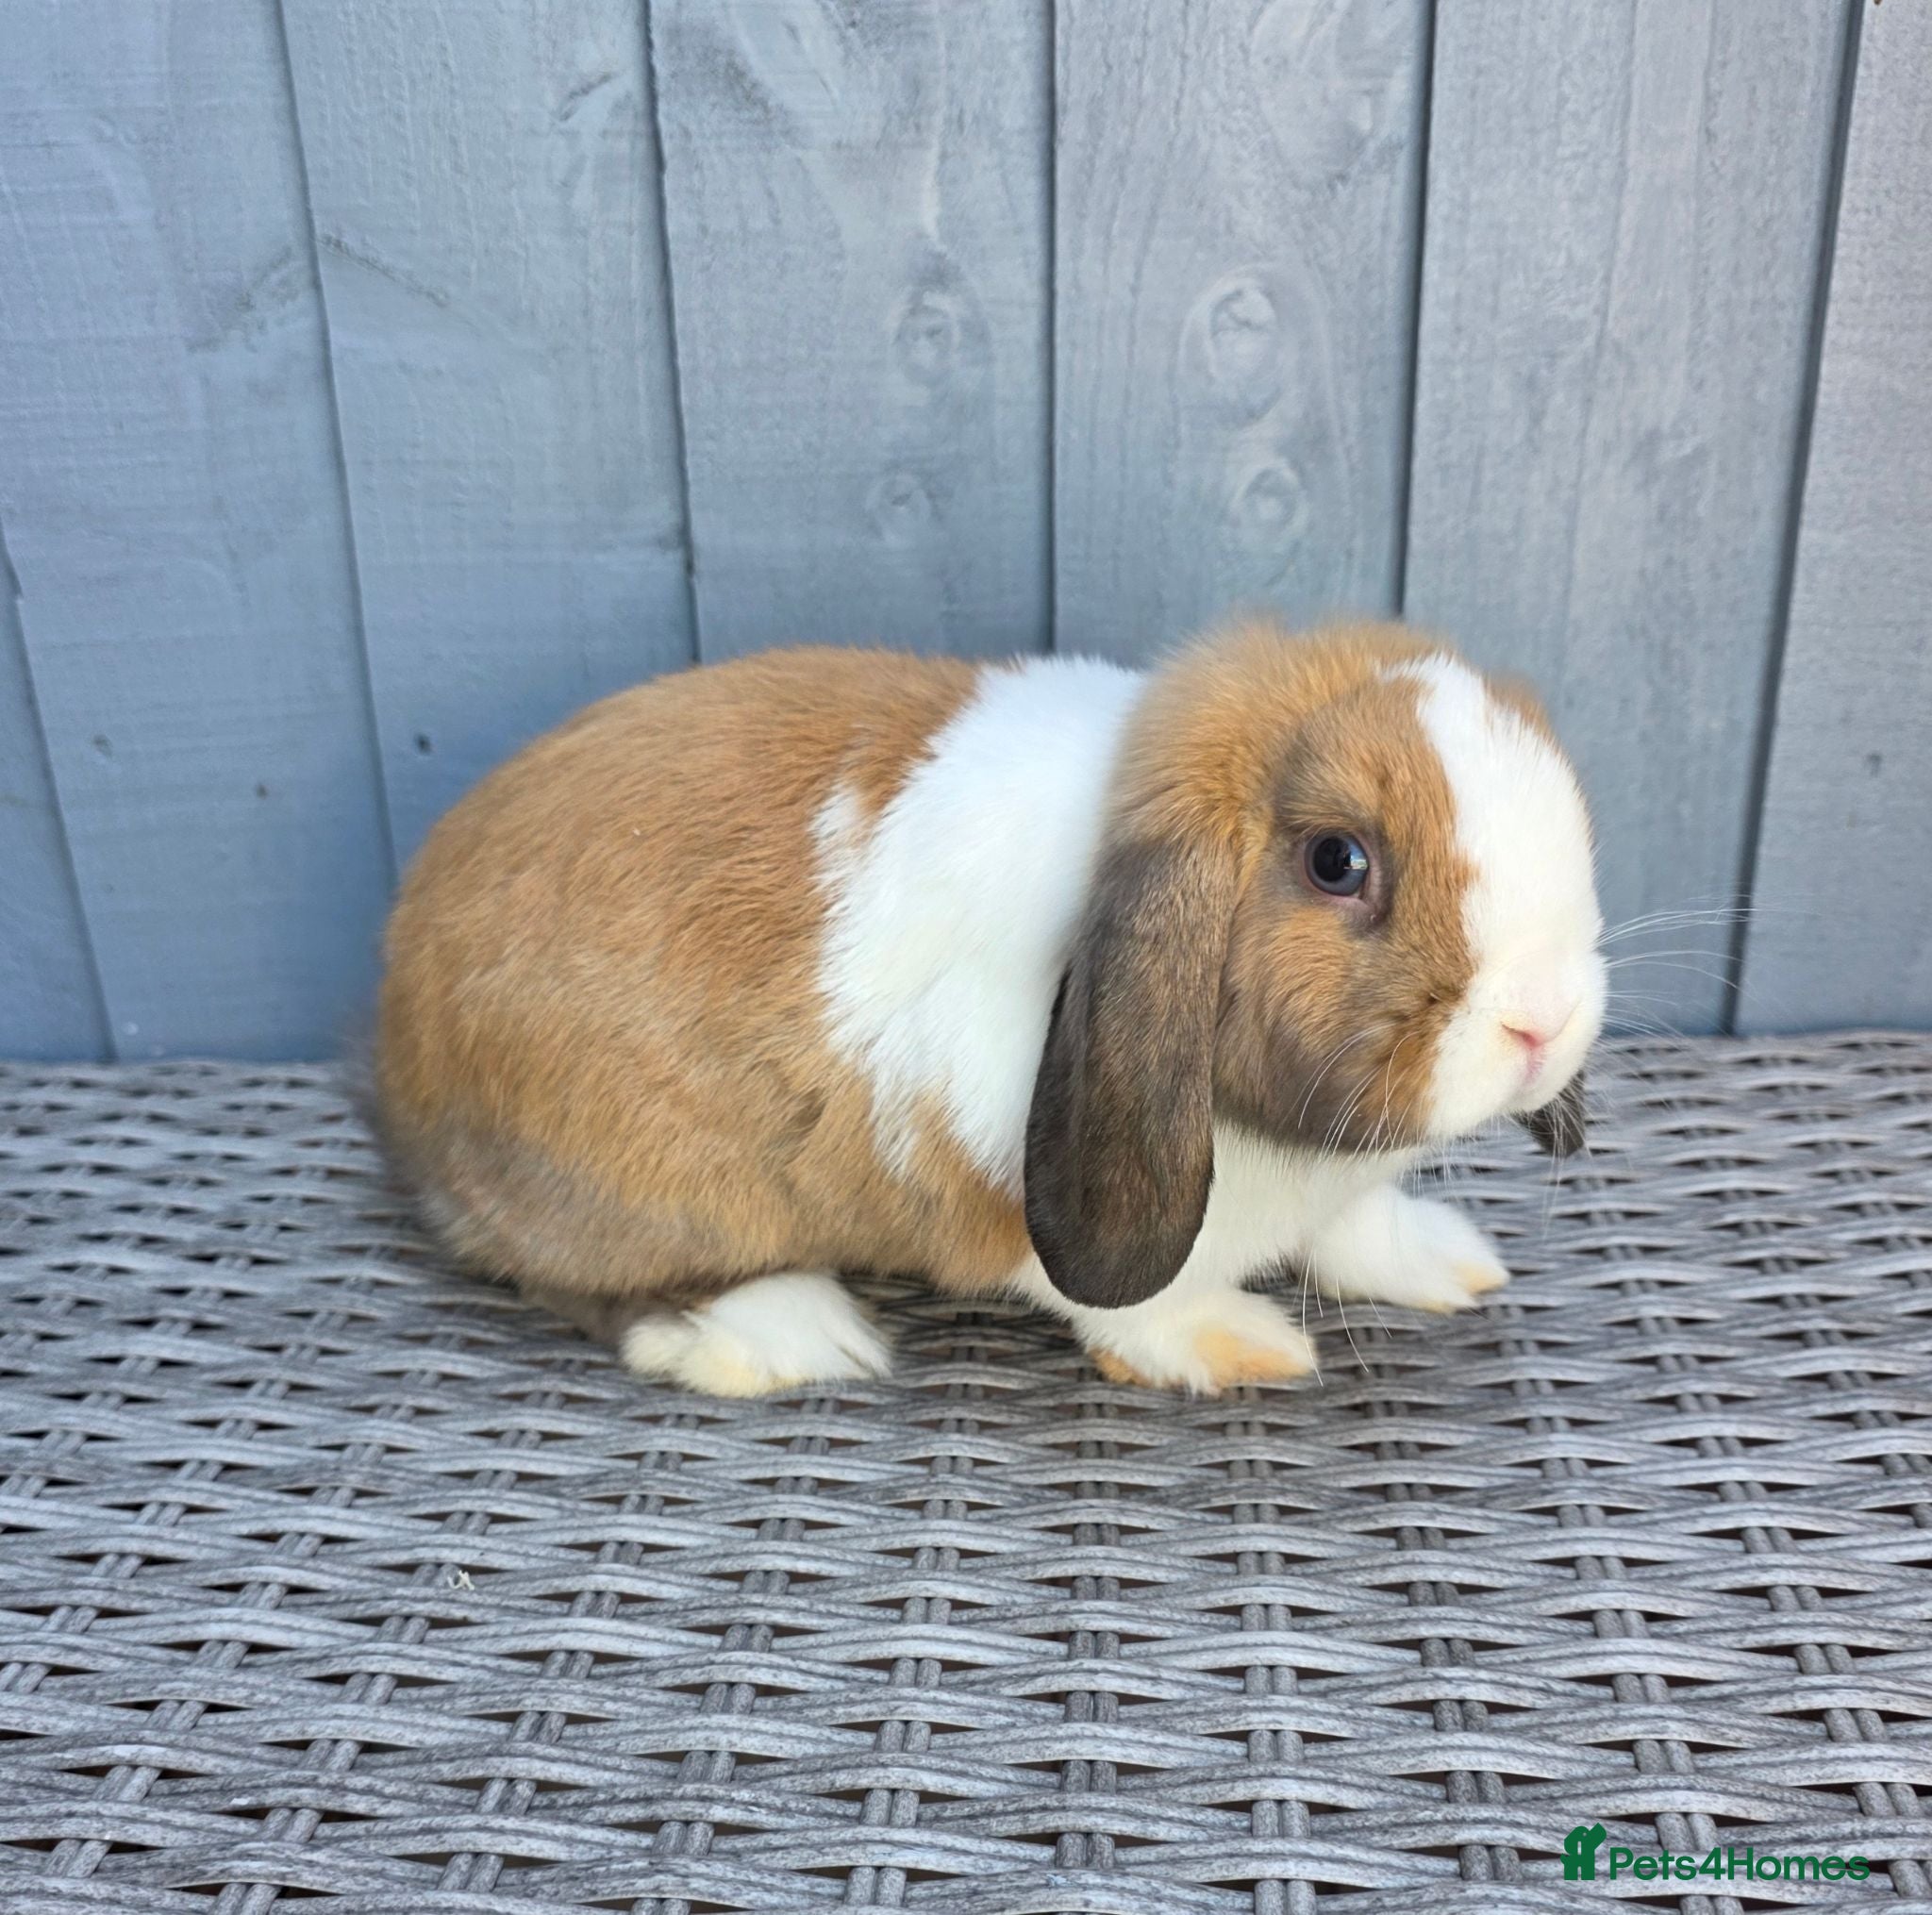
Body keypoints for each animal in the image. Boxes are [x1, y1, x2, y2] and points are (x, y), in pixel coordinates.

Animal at [374, 618, 1604, 1397]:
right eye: (1336, 861)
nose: (1541, 1020)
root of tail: (396, 1037)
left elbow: (1356, 1225)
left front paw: (1445, 1261)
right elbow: (1123, 1302)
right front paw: (1231, 1342)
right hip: (642, 1191)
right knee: (578, 1284)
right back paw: (784, 1335)